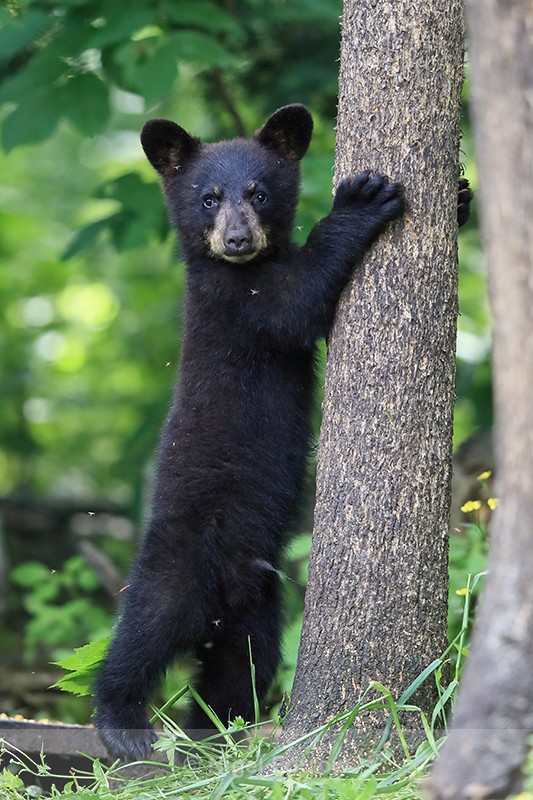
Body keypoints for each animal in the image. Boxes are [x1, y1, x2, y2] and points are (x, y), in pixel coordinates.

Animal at [93, 104, 469, 762]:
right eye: (209, 198)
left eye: (260, 193)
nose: (237, 239)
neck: (244, 267)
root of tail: (215, 607)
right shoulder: (240, 305)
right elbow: (298, 302)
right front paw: (361, 200)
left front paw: (463, 197)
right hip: (180, 560)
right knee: (144, 627)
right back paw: (122, 722)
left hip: (258, 612)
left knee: (238, 670)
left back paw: (221, 737)